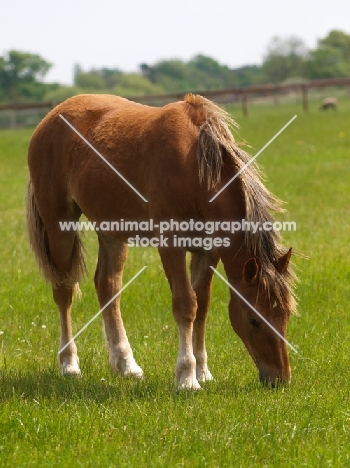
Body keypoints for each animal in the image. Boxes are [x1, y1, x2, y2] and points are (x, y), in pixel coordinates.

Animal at [26, 93, 296, 390]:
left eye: (286, 315)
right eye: (254, 320)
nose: (280, 379)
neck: (194, 168)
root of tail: (50, 117)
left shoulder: (207, 252)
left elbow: (202, 305)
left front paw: (203, 371)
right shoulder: (170, 244)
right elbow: (186, 304)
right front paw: (187, 377)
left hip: (111, 232)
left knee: (107, 286)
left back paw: (125, 364)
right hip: (58, 224)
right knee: (64, 290)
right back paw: (69, 364)